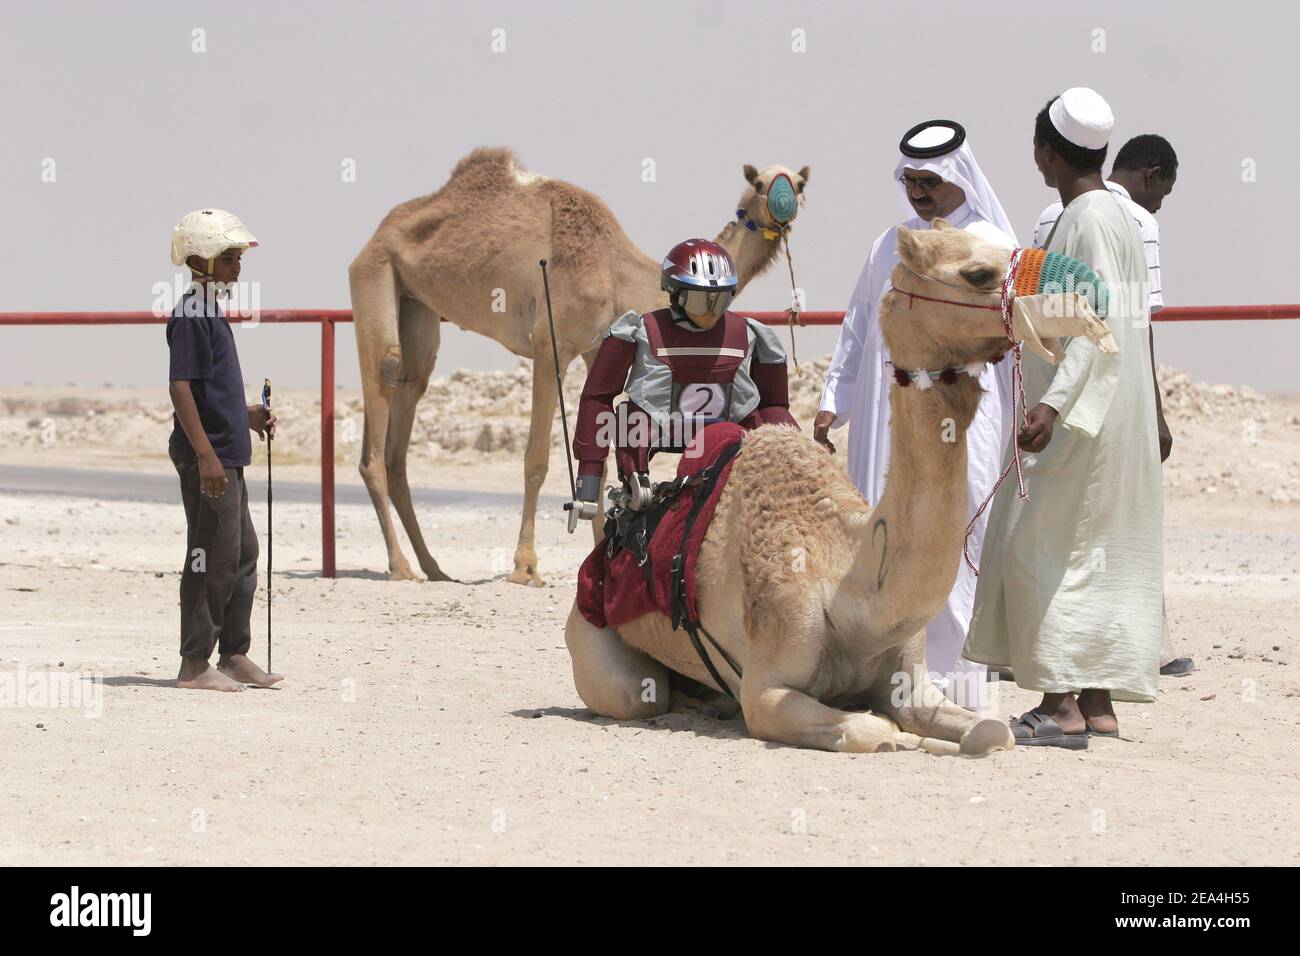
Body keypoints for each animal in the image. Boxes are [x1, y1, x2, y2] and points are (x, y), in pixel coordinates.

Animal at [348, 147, 809, 583]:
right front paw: (525, 567)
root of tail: (374, 236)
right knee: (384, 383)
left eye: (801, 182)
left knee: (408, 399)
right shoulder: (549, 344)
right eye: (760, 183)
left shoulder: (594, 347)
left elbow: (600, 454)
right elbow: (536, 460)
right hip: (374, 273)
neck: (615, 270)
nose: (787, 205)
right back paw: (401, 565)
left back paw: (434, 567)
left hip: (417, 304)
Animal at [564, 221, 1117, 755]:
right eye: (977, 272)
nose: (1088, 295)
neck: (850, 590)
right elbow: (873, 728)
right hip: (597, 647)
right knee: (637, 694)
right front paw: (909, 740)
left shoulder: (912, 682)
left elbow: (992, 731)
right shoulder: (767, 690)